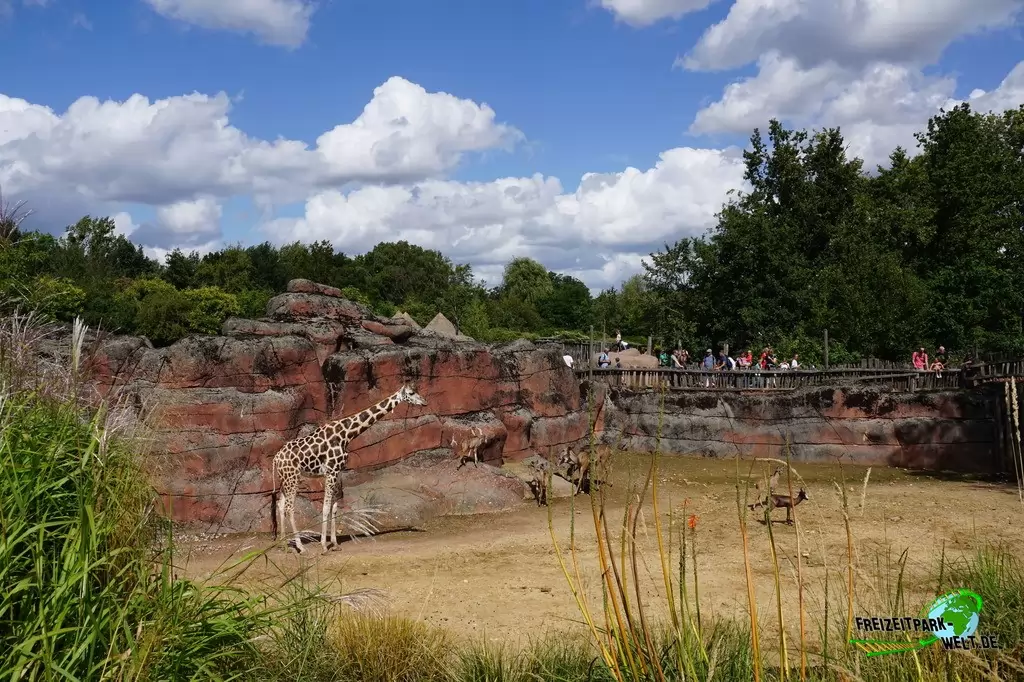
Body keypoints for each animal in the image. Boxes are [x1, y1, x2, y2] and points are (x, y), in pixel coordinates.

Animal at [273, 383, 427, 554]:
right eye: (411, 393)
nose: (424, 402)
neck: (347, 434)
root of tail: (276, 459)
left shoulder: (337, 472)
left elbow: (334, 508)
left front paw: (334, 543)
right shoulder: (331, 472)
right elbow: (326, 507)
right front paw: (324, 545)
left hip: (285, 479)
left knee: (280, 505)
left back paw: (283, 545)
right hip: (292, 477)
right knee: (289, 508)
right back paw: (300, 546)